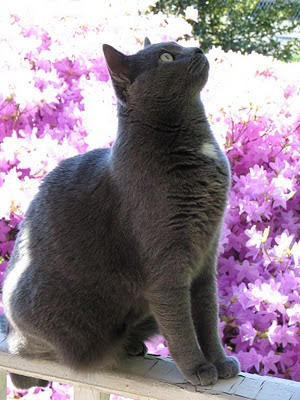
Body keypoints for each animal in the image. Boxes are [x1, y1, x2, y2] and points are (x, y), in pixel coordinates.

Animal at [1, 37, 239, 388]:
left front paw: (220, 362)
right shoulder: (167, 266)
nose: (197, 49)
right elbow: (181, 326)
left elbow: (207, 317)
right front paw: (197, 368)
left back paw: (133, 344)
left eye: (180, 44)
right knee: (33, 351)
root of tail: (11, 330)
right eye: (166, 57)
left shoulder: (207, 257)